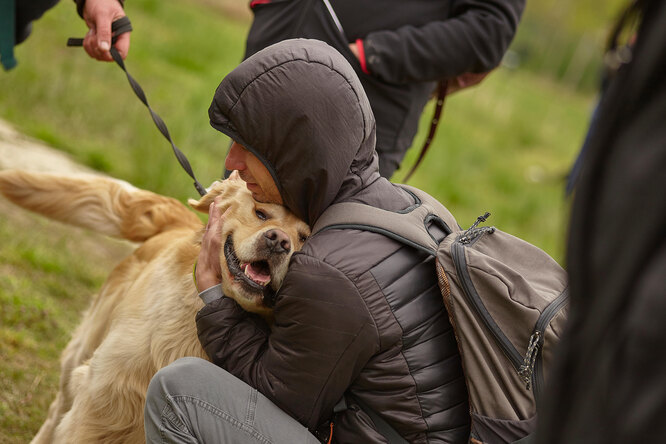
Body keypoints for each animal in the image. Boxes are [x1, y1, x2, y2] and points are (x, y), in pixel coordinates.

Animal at [0, 168, 310, 442]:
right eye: (261, 213)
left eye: (305, 238)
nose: (279, 242)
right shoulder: (103, 396)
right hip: (84, 350)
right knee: (58, 409)